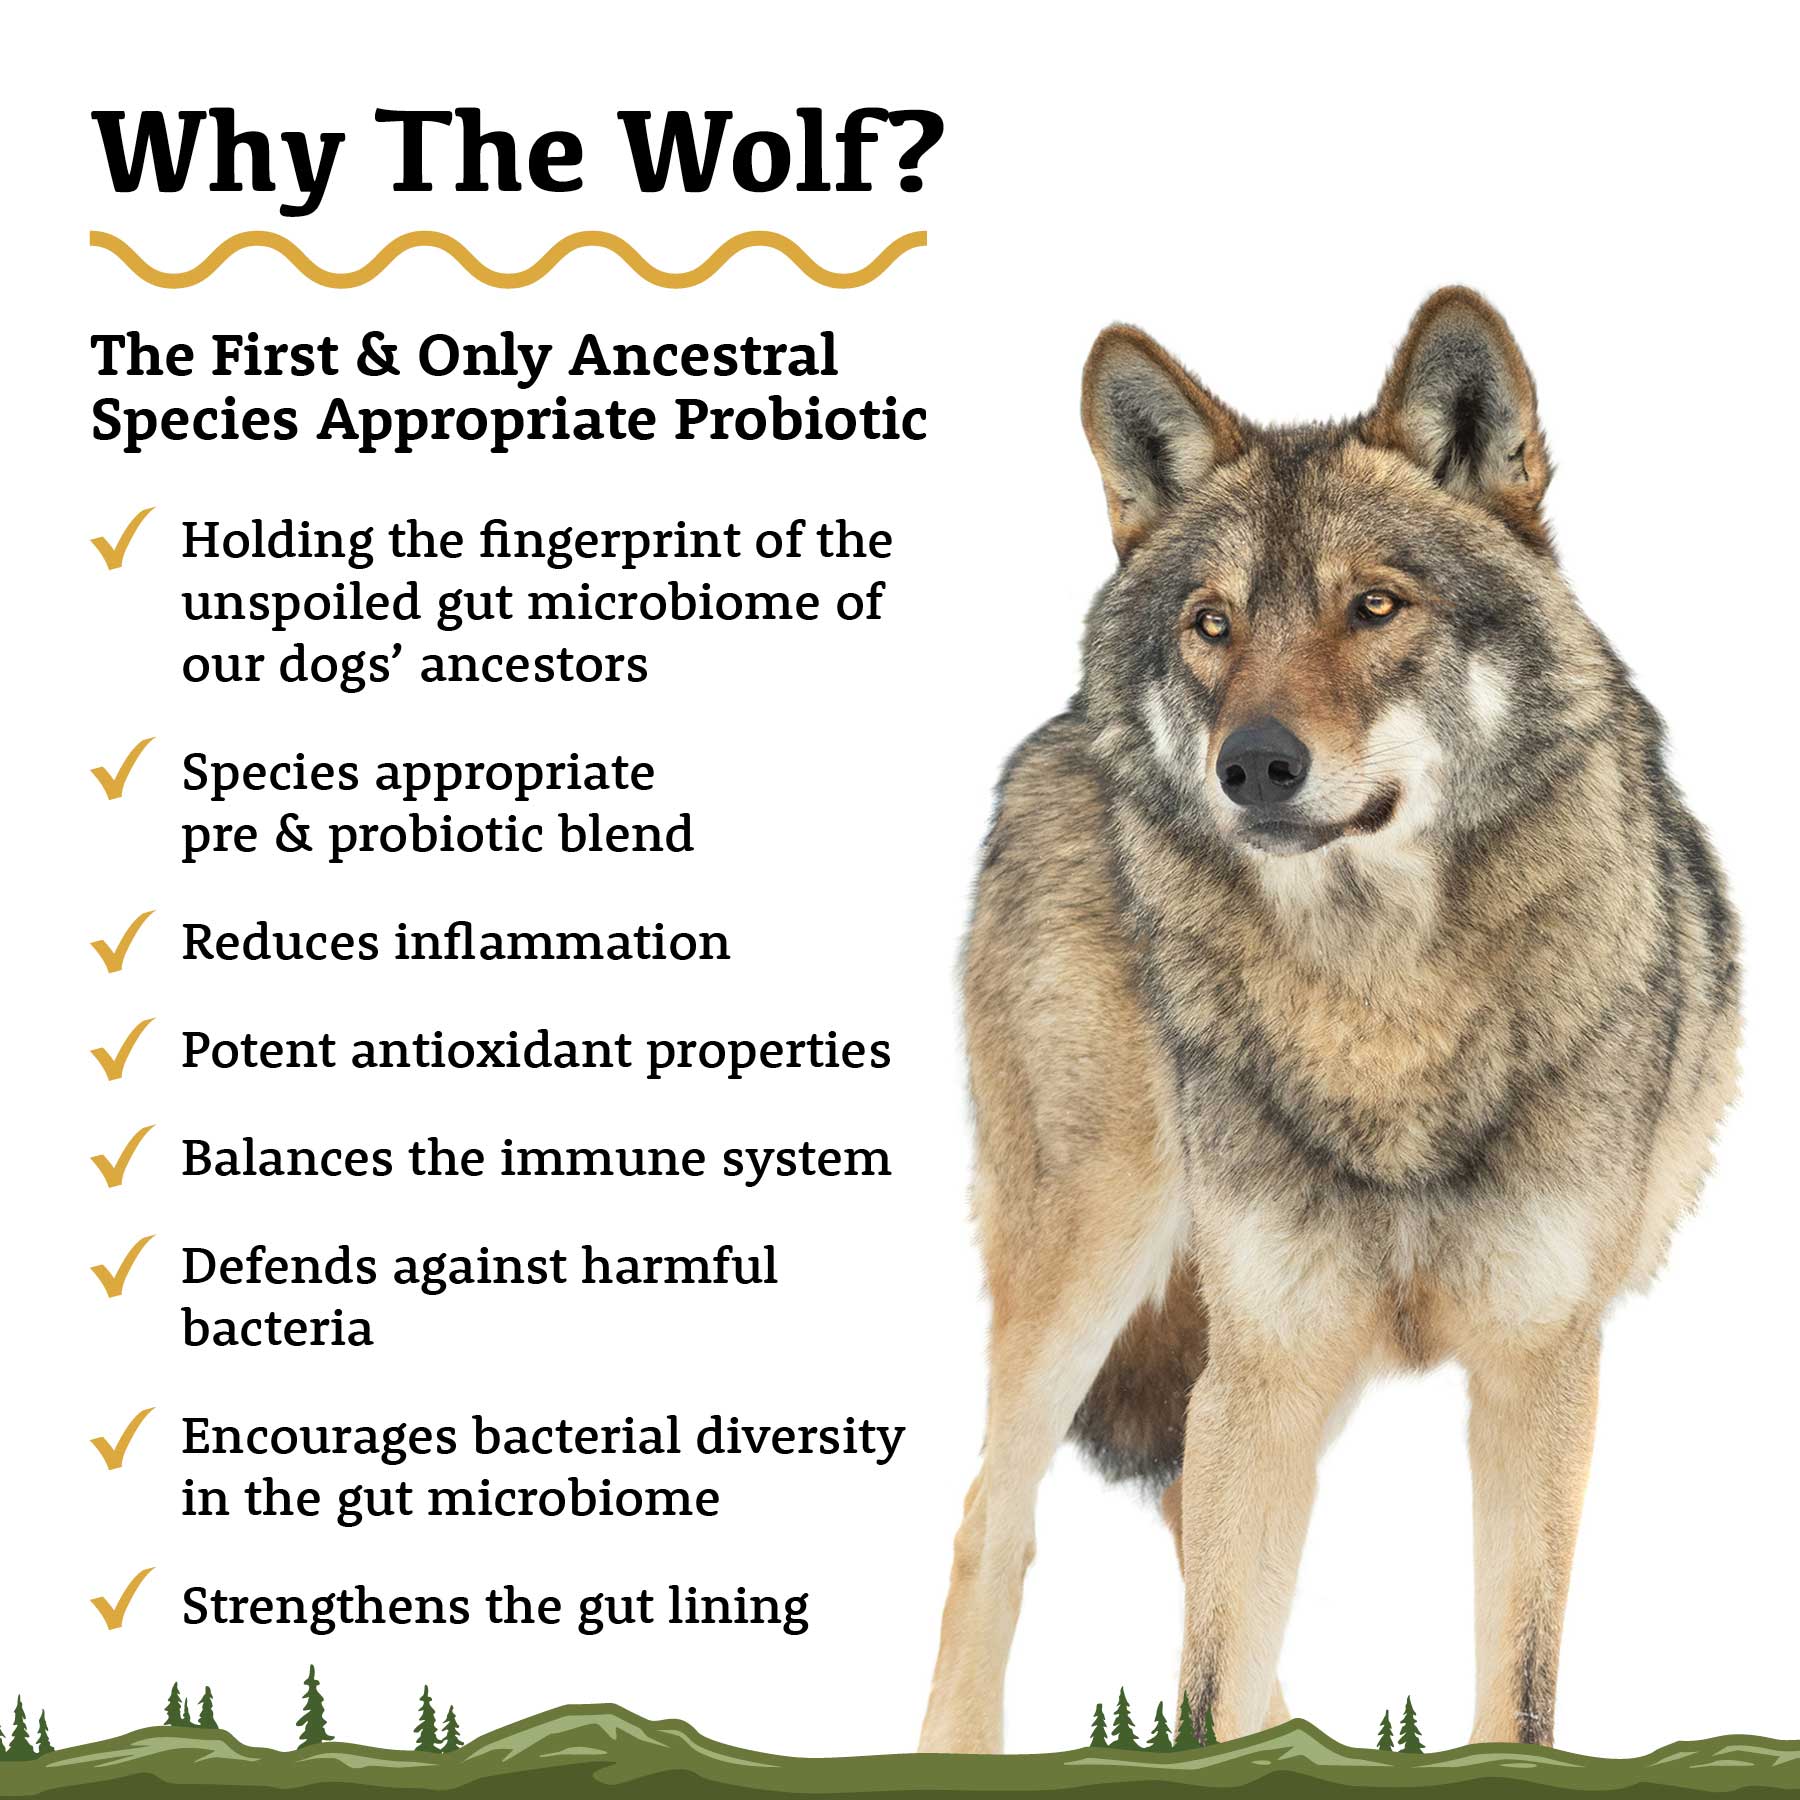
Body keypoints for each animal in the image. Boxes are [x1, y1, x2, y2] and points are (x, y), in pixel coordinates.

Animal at [919, 290, 1739, 1753]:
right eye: (1212, 622)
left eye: (1375, 607)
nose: (1252, 764)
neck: (1379, 1008)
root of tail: (1065, 730)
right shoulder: (1274, 1356)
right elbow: (1205, 1668)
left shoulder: (1538, 1364)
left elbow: (1514, 1684)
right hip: (1094, 1257)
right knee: (994, 1521)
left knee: (1180, 1517)